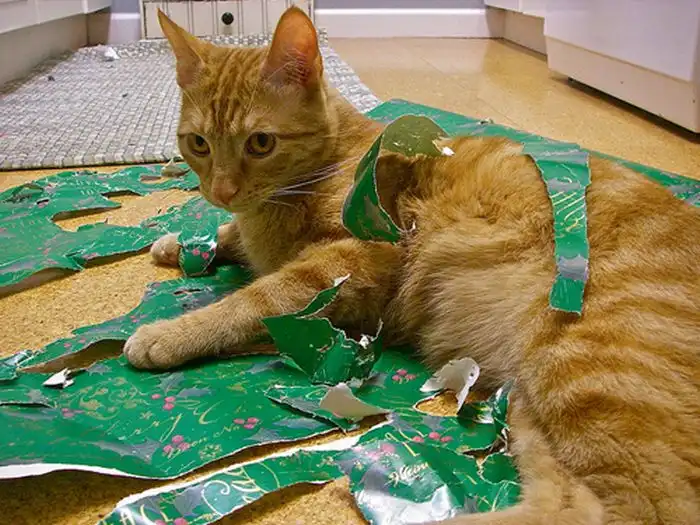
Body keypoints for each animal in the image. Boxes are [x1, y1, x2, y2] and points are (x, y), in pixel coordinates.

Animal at [124, 7, 700, 525]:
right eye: (198, 143)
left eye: (260, 142)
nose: (220, 191)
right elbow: (232, 241)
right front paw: (180, 242)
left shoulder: (350, 265)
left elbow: (255, 298)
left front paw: (171, 332)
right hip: (531, 408)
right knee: (573, 508)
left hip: (585, 373)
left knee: (648, 510)